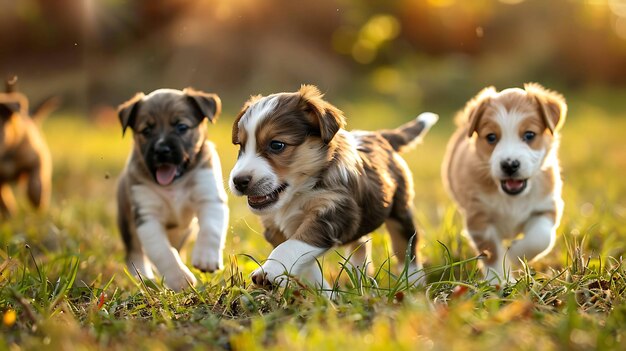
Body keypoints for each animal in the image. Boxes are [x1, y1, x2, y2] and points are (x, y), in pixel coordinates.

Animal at [116, 88, 228, 292]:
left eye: (181, 127)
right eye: (146, 130)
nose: (162, 150)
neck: (173, 185)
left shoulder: (210, 198)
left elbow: (211, 229)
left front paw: (206, 258)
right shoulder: (147, 217)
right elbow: (163, 252)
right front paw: (179, 279)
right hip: (126, 224)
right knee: (135, 253)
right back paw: (142, 278)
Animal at [227, 85, 436, 292]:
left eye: (277, 145)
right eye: (241, 146)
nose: (238, 181)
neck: (299, 193)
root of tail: (381, 136)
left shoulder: (332, 212)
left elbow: (290, 246)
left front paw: (268, 272)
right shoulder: (275, 226)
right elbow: (306, 265)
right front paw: (323, 294)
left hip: (400, 210)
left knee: (407, 245)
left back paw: (413, 283)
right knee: (361, 245)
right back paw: (359, 278)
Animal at [438, 82, 564, 284]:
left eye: (529, 135)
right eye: (491, 137)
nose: (510, 165)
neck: (511, 198)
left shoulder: (546, 207)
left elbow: (541, 238)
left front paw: (514, 255)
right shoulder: (479, 218)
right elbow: (492, 252)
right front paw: (498, 280)